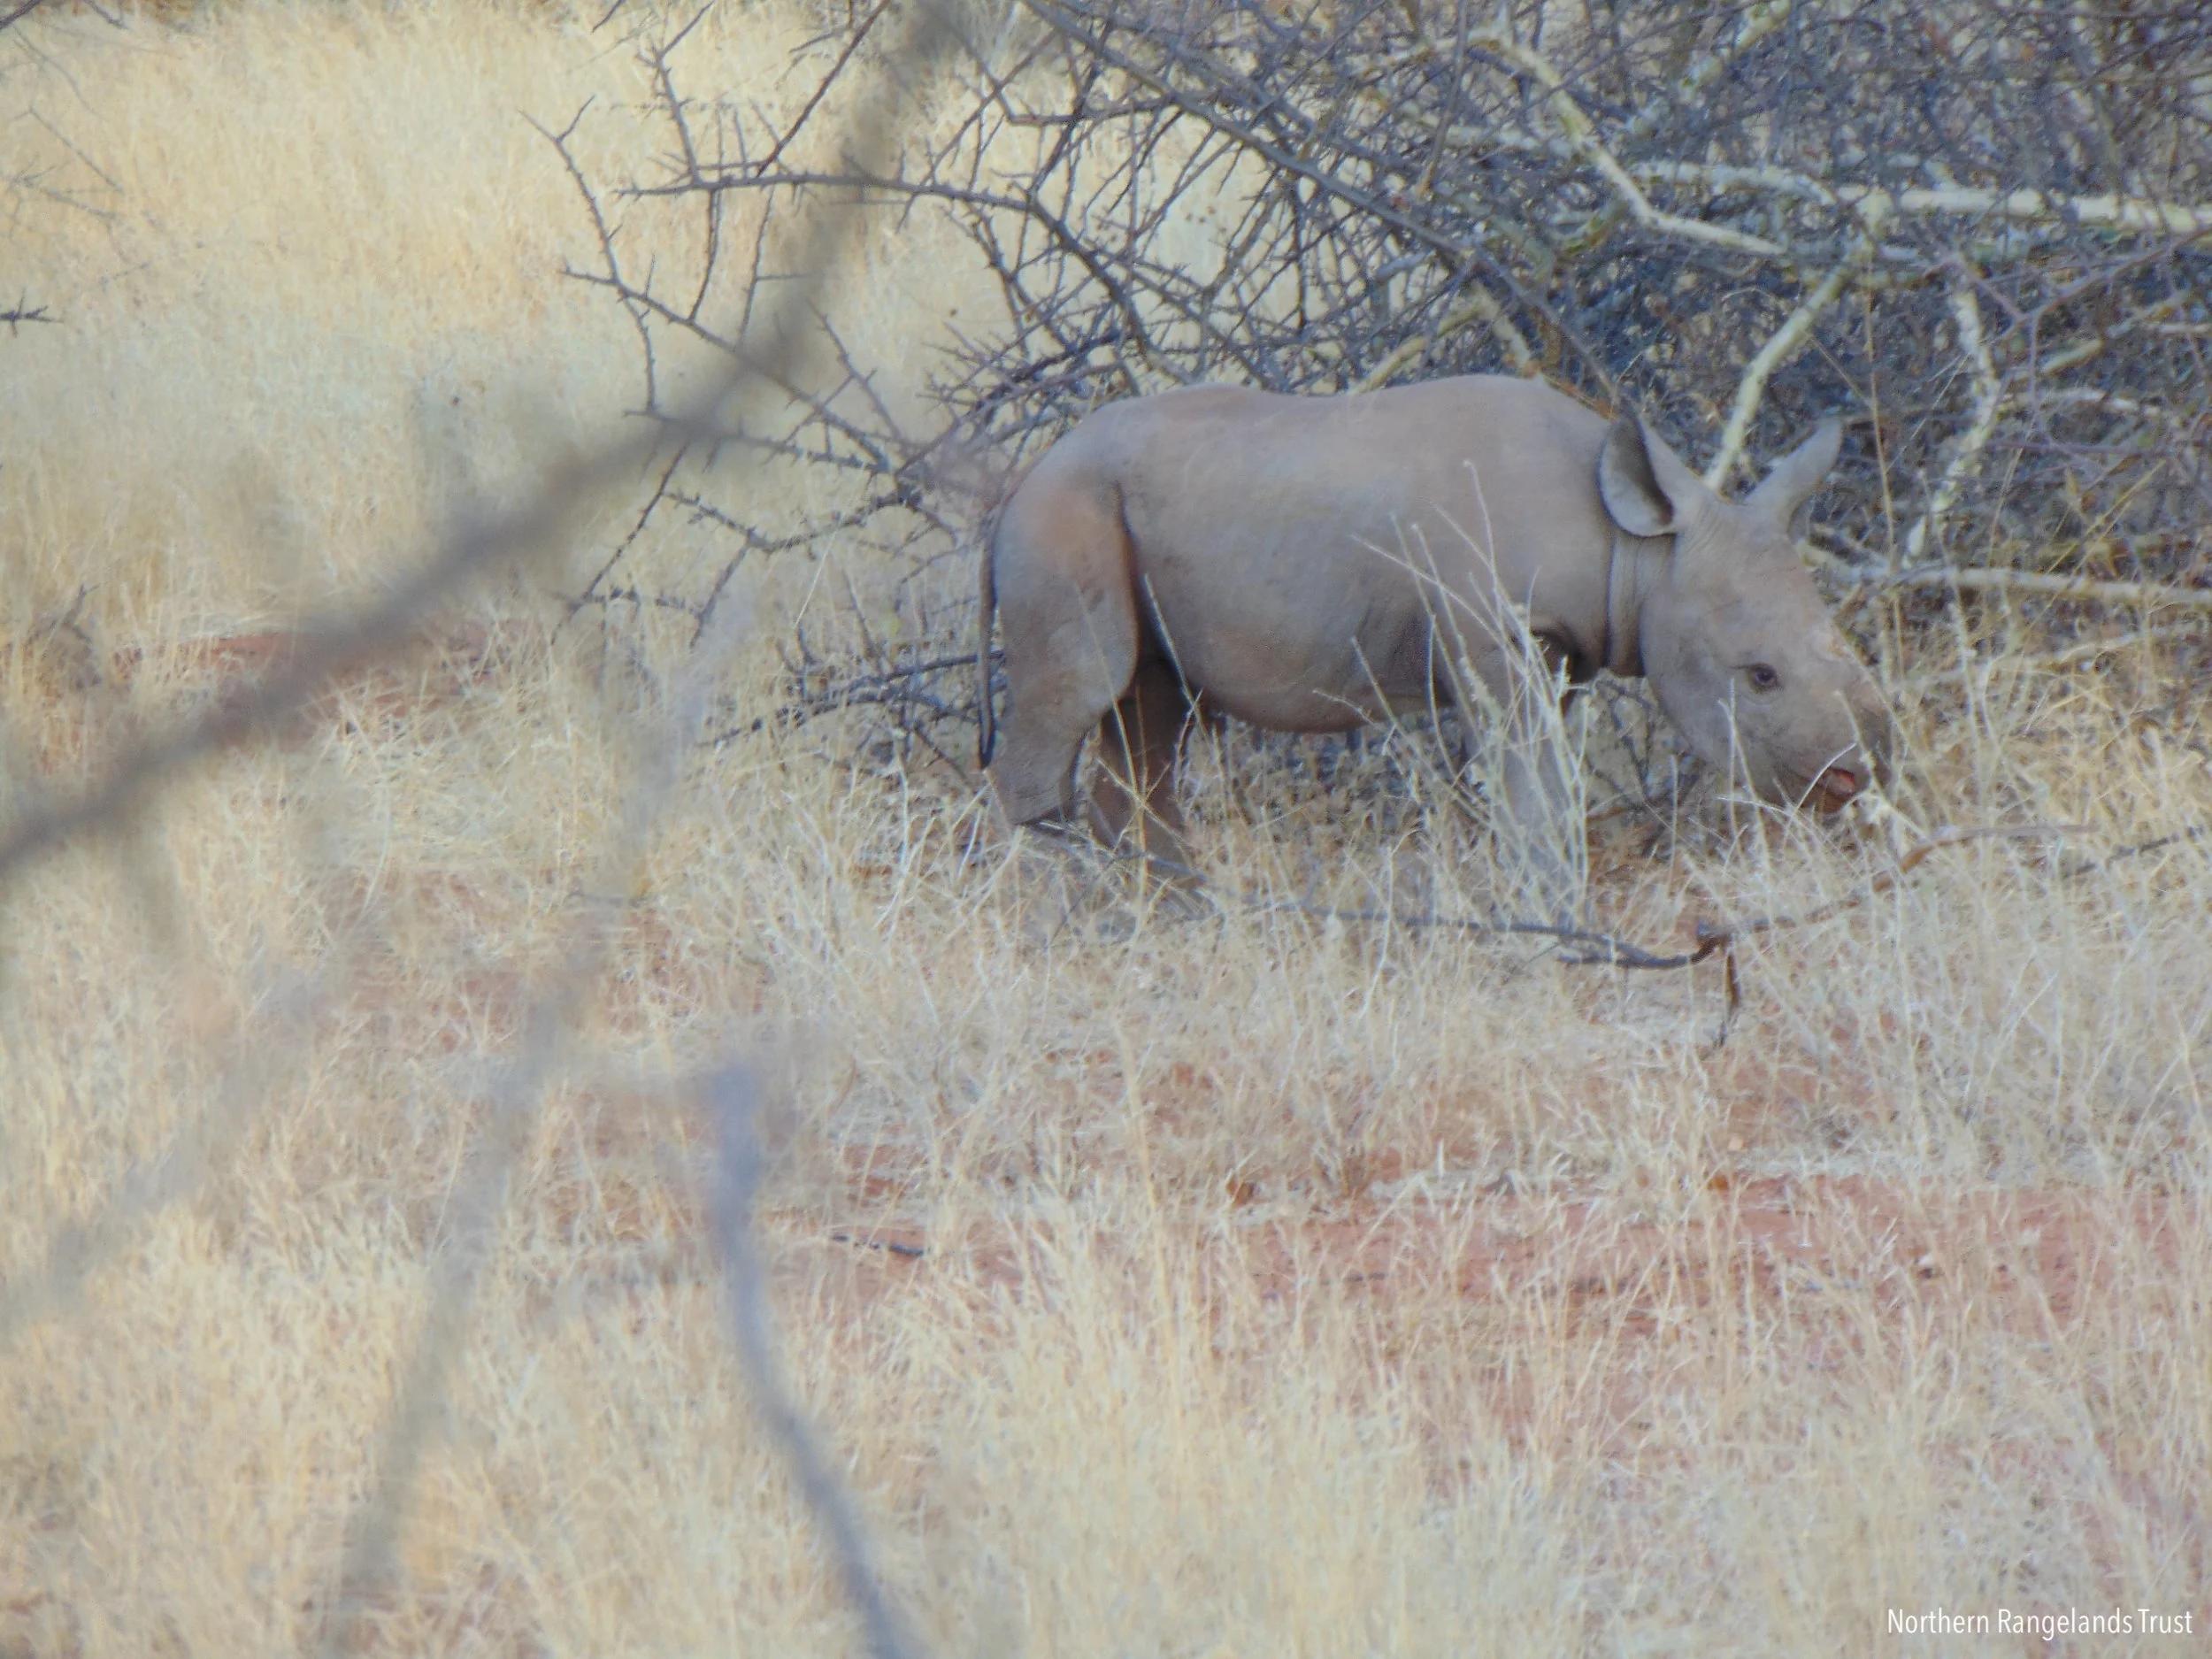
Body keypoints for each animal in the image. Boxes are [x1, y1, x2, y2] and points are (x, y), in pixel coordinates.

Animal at [975, 373, 1893, 915]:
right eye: (1761, 675)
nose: (1852, 779)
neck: (1637, 551)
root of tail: (1021, 477)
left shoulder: (1561, 651)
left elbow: (1547, 782)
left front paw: (1551, 901)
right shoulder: (1492, 631)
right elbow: (1532, 783)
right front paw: (1553, 918)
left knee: (1151, 707)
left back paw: (1179, 910)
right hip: (1066, 513)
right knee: (1087, 686)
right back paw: (1075, 905)